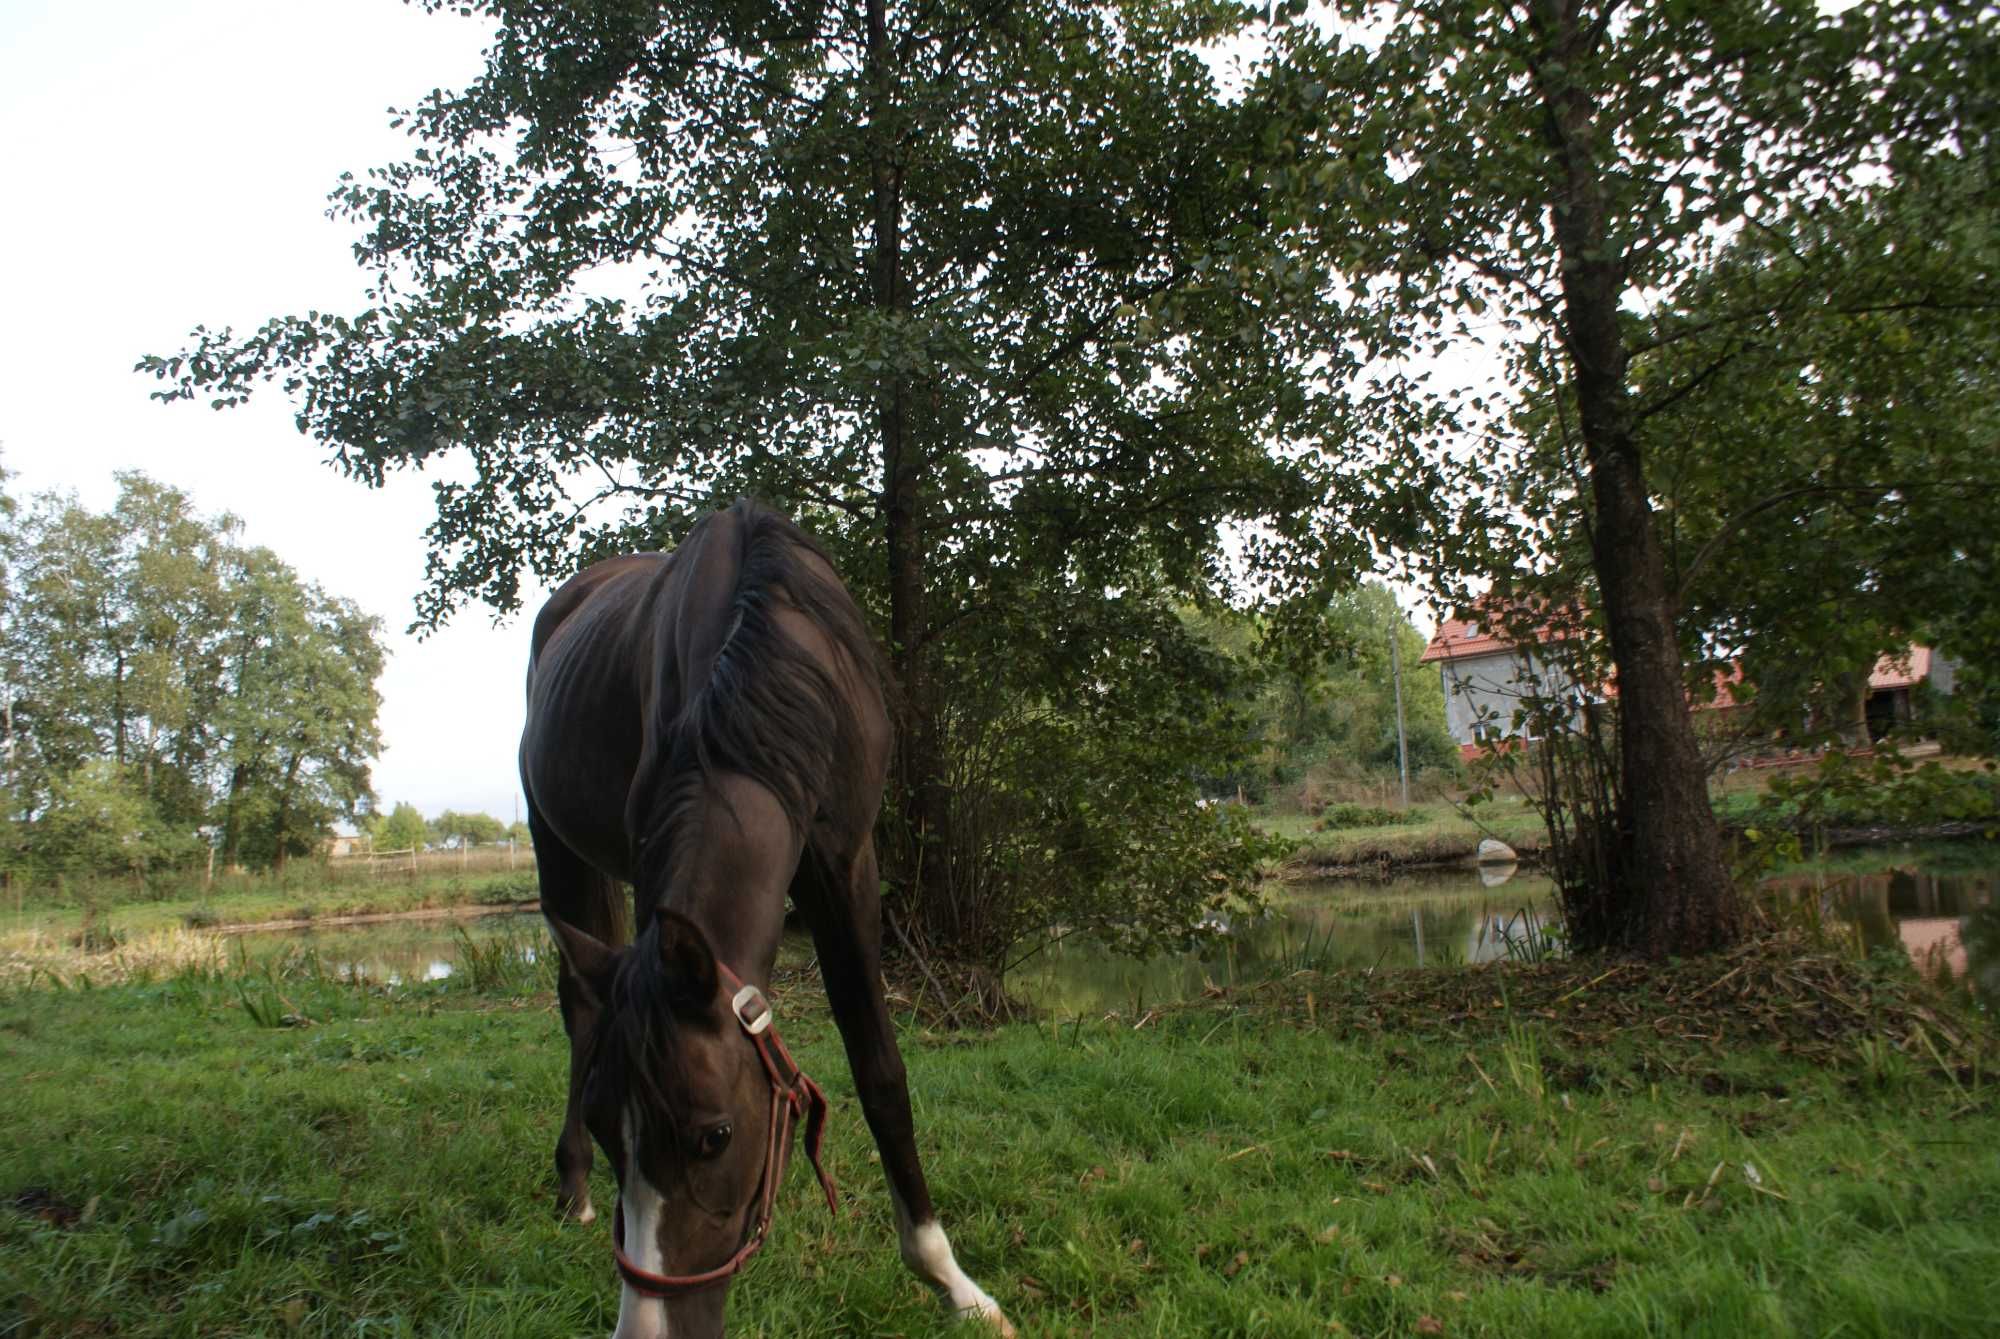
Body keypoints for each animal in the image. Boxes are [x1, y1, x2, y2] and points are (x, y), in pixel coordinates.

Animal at [520, 503, 1016, 1339]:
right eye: (605, 1125)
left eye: (714, 1134)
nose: (646, 1329)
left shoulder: (845, 862)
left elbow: (880, 1069)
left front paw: (952, 1280)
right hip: (552, 842)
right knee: (580, 1007)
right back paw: (572, 1188)